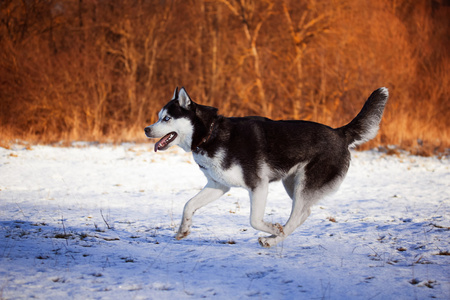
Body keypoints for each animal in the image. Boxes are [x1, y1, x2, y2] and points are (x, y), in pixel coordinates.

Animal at [144, 86, 386, 246]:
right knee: (305, 212)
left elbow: (254, 220)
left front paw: (272, 228)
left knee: (297, 215)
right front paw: (183, 230)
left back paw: (274, 238)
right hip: (292, 184)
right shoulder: (218, 185)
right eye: (158, 117)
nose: (146, 129)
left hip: (303, 184)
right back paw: (274, 238)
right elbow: (188, 205)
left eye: (166, 118)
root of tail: (340, 133)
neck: (210, 134)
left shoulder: (258, 186)